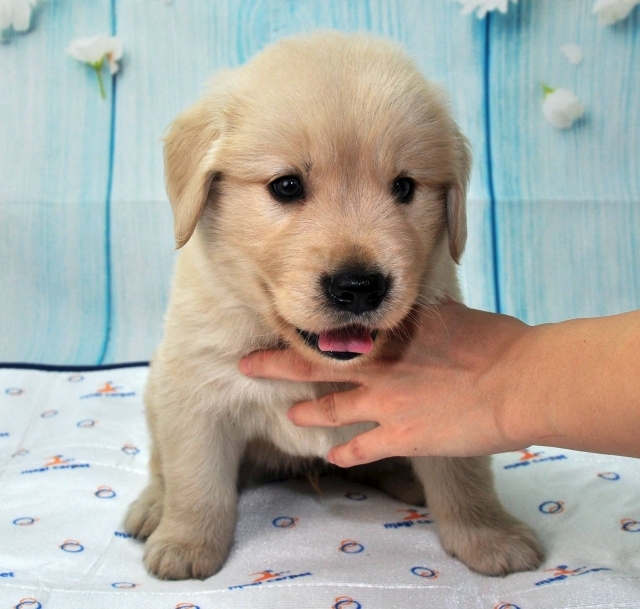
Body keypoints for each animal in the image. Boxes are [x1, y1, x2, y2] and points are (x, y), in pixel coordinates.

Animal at [125, 31, 544, 580]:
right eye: (286, 185)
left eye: (404, 187)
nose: (360, 287)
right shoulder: (195, 392)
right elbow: (196, 479)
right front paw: (187, 542)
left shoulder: (444, 403)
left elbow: (463, 475)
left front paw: (489, 534)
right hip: (158, 388)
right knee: (161, 463)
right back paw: (153, 506)